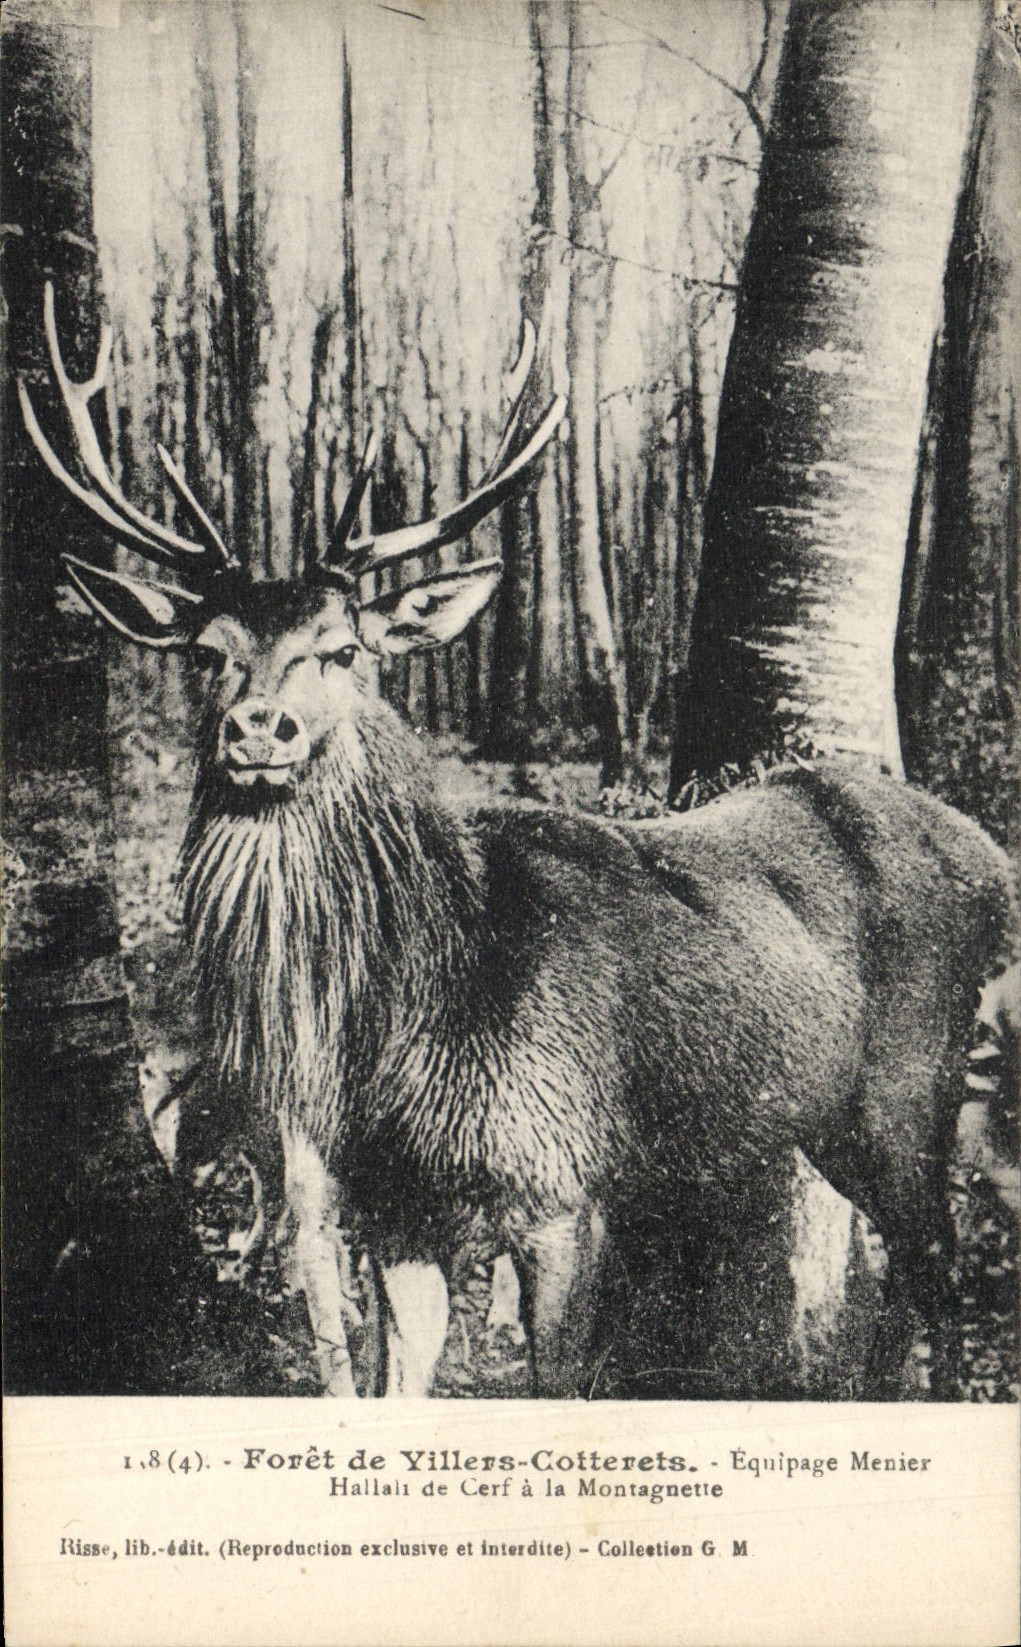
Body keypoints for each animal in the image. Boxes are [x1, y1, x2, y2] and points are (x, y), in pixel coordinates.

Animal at [20, 284, 1018, 1399]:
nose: (257, 729)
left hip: (912, 1083)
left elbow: (554, 1380)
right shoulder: (394, 1208)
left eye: (343, 649)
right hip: (842, 1117)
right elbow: (397, 1384)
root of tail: (989, 856)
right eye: (205, 653)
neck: (408, 1015)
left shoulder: (561, 1181)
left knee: (941, 1270)